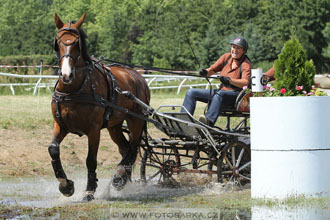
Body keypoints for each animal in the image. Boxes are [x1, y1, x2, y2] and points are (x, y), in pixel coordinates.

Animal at [48, 12, 150, 201]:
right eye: (58, 43)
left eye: (77, 43)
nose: (66, 75)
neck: (74, 90)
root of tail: (137, 76)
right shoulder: (60, 124)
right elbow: (53, 150)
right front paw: (66, 186)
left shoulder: (94, 130)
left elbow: (90, 160)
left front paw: (89, 190)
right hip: (114, 126)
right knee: (125, 148)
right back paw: (122, 178)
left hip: (136, 121)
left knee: (132, 148)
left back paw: (119, 177)